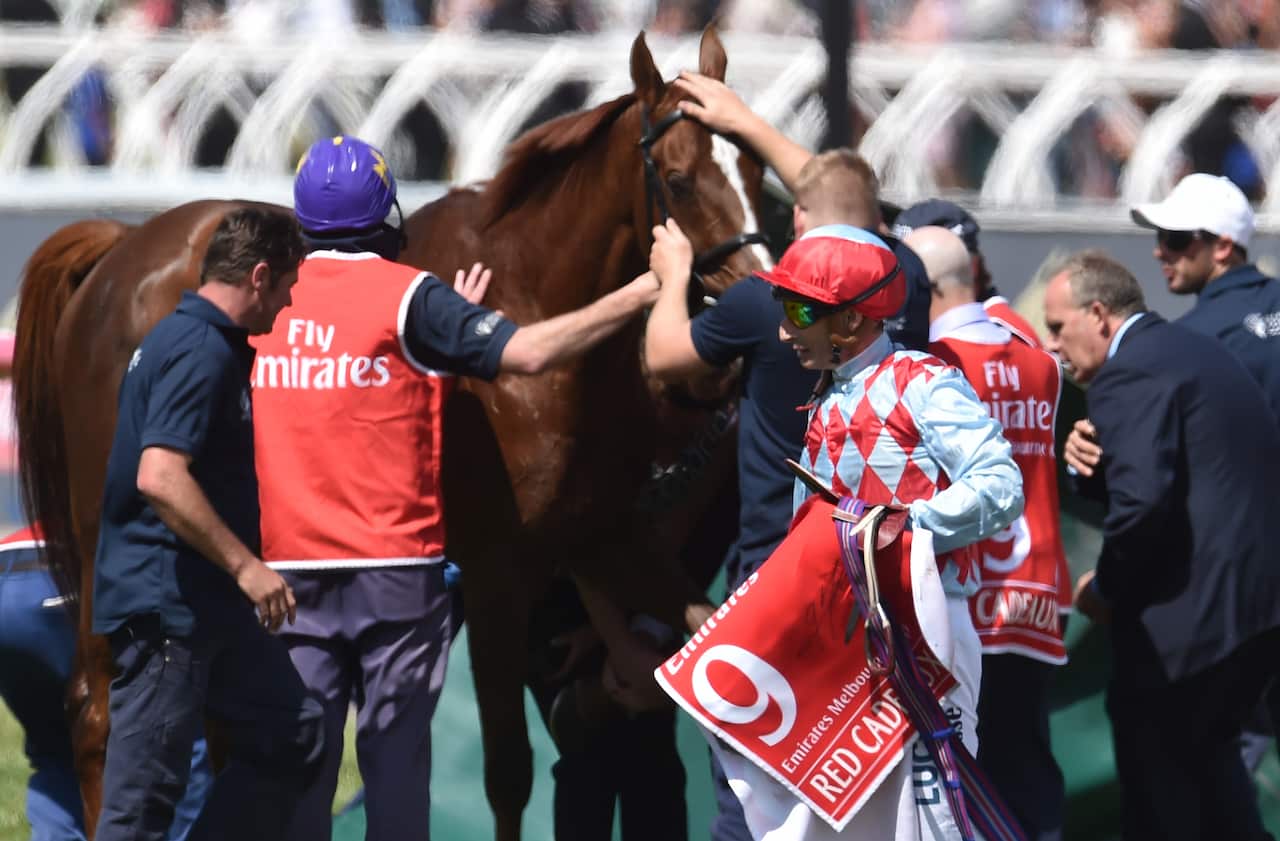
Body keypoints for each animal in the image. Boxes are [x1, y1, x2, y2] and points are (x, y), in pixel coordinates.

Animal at [13, 27, 768, 839]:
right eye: (680, 179)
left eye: (758, 167)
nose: (759, 295)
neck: (533, 300)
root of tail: (122, 247)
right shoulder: (497, 571)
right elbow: (508, 770)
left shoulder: (603, 533)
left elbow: (695, 642)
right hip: (110, 531)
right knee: (98, 712)